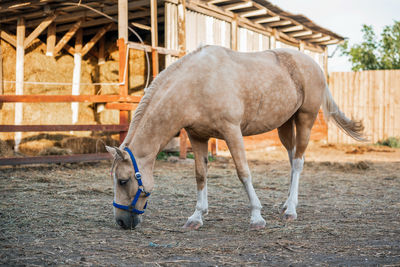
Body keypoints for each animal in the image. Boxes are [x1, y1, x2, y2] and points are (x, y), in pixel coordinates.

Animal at [104, 45, 364, 230]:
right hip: (285, 125)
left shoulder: (232, 131)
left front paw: (257, 217)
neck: (196, 84)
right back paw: (285, 204)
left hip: (305, 119)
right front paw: (197, 216)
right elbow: (200, 175)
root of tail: (315, 65)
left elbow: (243, 172)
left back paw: (291, 210)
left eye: (123, 181)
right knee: (292, 161)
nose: (121, 222)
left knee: (299, 162)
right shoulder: (197, 136)